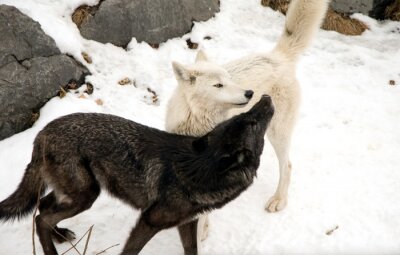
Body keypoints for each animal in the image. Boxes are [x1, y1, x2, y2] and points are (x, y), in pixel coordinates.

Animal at [0, 95, 276, 253]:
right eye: (251, 120)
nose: (265, 96)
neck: (201, 169)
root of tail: (42, 132)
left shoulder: (188, 224)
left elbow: (192, 251)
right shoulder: (148, 220)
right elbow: (130, 251)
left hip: (75, 193)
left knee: (42, 208)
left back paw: (60, 236)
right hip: (86, 195)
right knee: (41, 218)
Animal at [165, 0, 328, 239]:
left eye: (228, 79)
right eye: (218, 85)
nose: (249, 93)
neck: (198, 123)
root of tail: (278, 56)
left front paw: (202, 233)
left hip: (277, 134)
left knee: (287, 166)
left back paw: (278, 200)